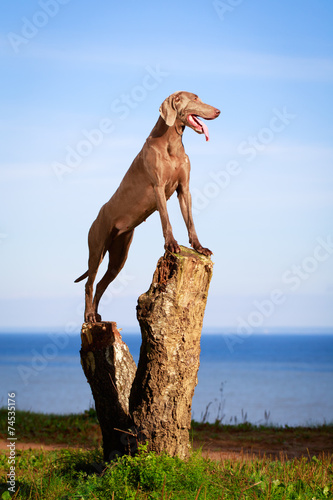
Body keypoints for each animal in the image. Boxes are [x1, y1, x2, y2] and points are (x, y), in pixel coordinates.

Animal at [76, 91, 219, 322]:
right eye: (194, 98)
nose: (218, 111)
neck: (172, 142)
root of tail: (97, 217)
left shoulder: (184, 190)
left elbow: (190, 221)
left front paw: (199, 247)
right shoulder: (158, 187)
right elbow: (166, 220)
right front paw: (171, 245)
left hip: (119, 255)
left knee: (100, 284)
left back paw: (96, 315)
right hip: (96, 248)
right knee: (90, 283)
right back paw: (88, 316)